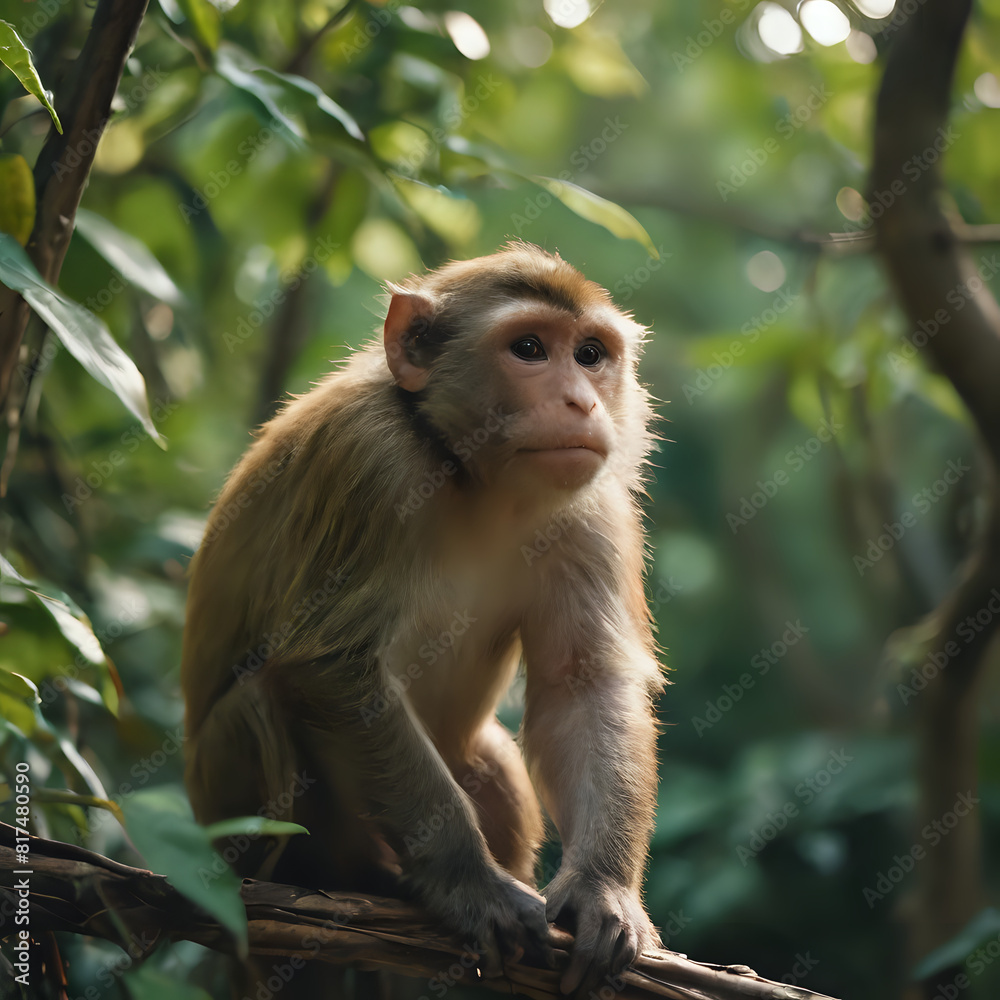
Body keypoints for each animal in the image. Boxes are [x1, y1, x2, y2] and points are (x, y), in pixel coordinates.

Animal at [181, 241, 664, 997]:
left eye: (590, 354)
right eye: (529, 348)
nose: (581, 402)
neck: (471, 478)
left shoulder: (592, 509)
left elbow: (582, 683)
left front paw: (599, 890)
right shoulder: (370, 459)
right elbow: (335, 670)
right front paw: (469, 885)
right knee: (260, 701)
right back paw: (347, 881)